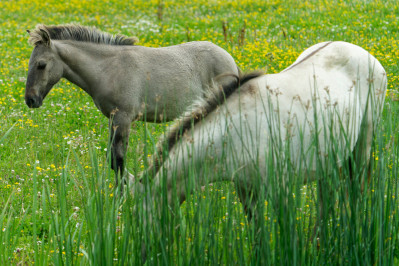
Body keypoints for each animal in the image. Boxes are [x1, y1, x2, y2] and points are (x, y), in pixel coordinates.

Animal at [25, 23, 241, 185]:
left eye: (41, 65)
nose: (30, 100)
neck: (109, 68)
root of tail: (229, 58)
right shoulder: (113, 118)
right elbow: (113, 159)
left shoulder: (123, 118)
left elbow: (118, 159)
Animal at [135, 40, 388, 252]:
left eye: (143, 222)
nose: (142, 253)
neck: (235, 130)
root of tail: (364, 54)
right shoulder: (246, 190)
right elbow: (257, 235)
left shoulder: (281, 190)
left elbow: (288, 235)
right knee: (325, 200)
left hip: (362, 147)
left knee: (355, 194)